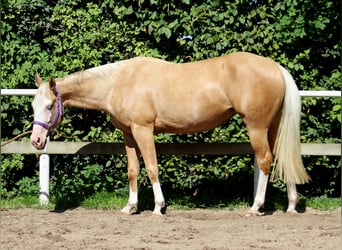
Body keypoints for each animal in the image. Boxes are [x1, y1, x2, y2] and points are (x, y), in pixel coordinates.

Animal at [31, 51, 310, 216]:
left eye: (49, 105)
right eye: (33, 105)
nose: (36, 140)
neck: (119, 82)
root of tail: (276, 68)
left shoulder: (143, 130)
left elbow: (152, 167)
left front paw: (158, 207)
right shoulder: (129, 135)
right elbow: (133, 170)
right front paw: (130, 206)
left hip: (257, 127)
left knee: (264, 160)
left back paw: (256, 207)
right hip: (273, 127)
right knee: (282, 157)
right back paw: (291, 205)